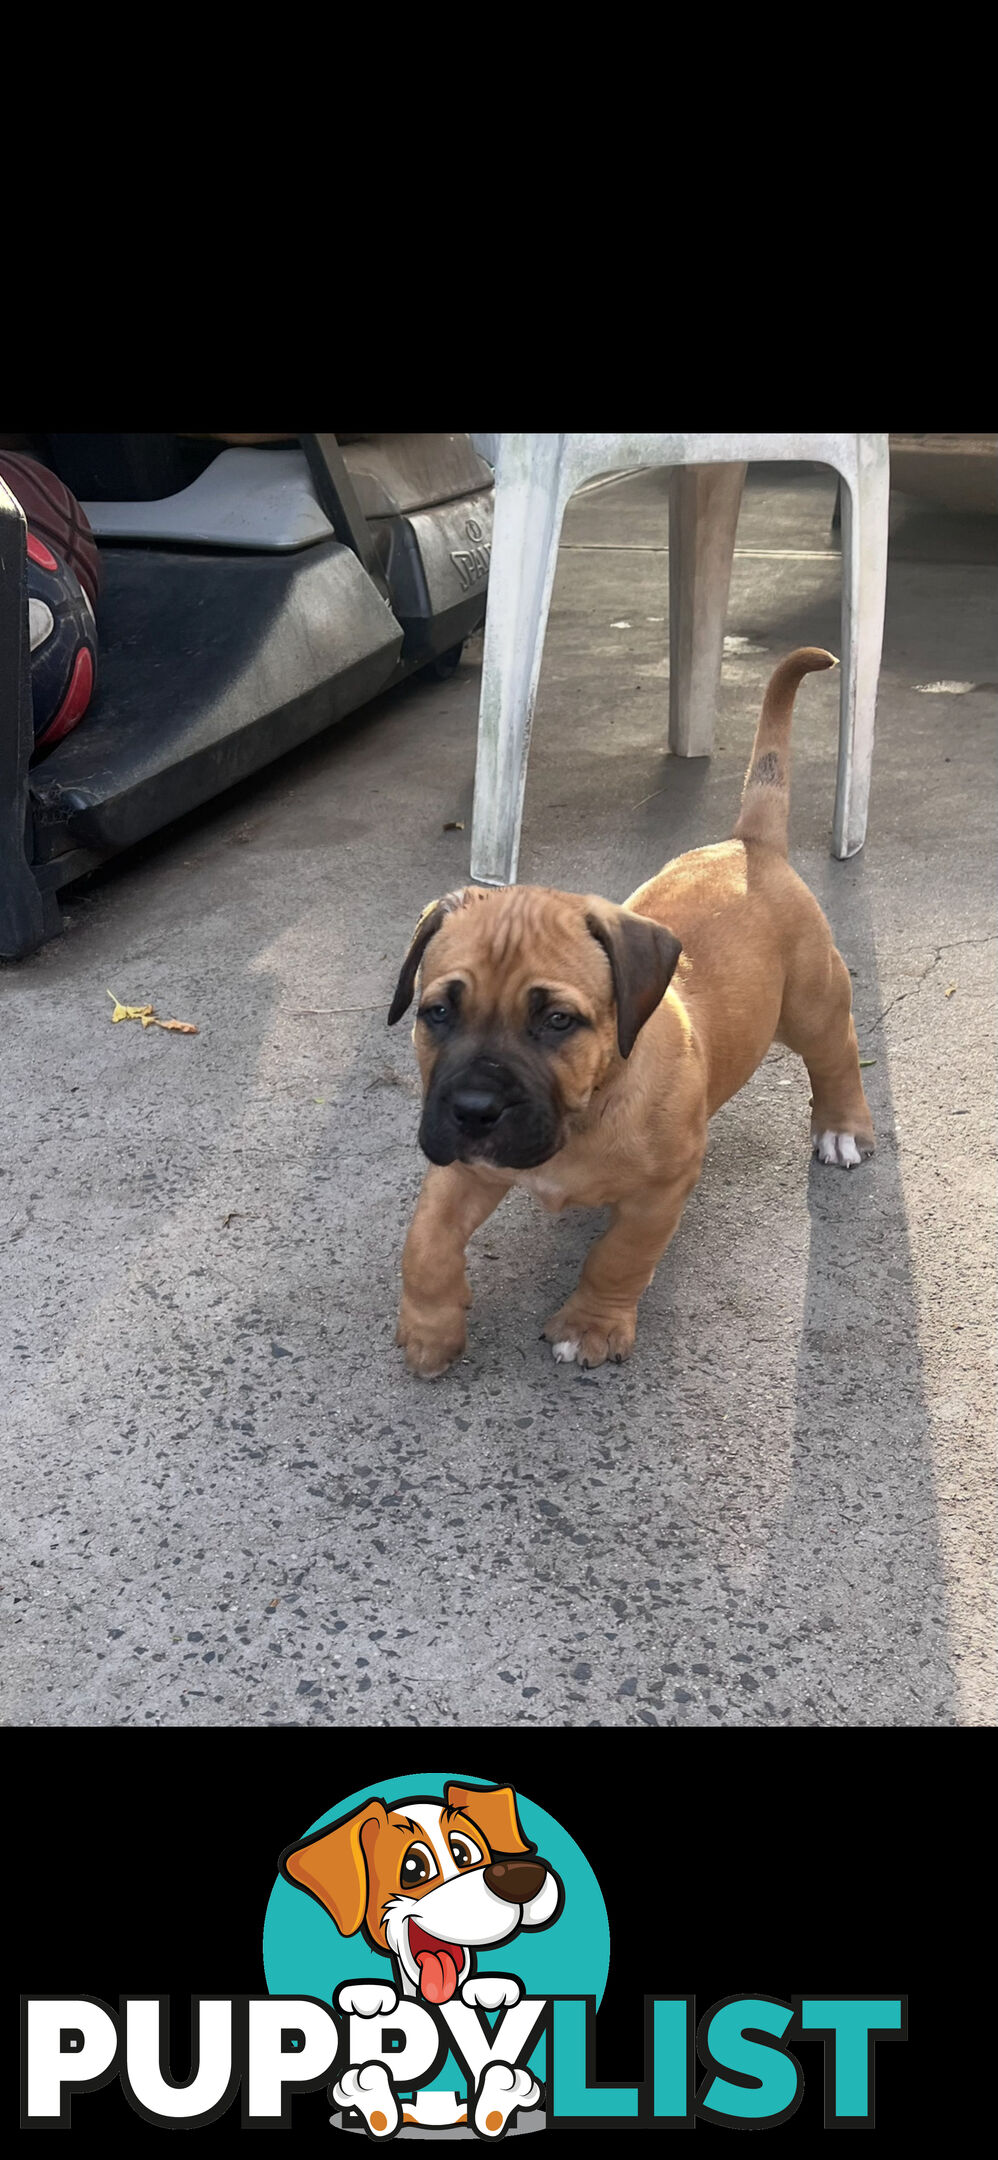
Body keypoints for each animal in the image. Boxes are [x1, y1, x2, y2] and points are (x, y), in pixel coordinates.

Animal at [386, 648, 868, 1373]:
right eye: (437, 1013)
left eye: (557, 1021)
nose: (473, 1110)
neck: (587, 1111)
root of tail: (748, 845)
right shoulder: (465, 1166)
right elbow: (425, 1242)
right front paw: (430, 1329)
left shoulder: (658, 1194)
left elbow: (618, 1258)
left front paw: (590, 1325)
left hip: (813, 999)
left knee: (838, 1052)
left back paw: (842, 1127)